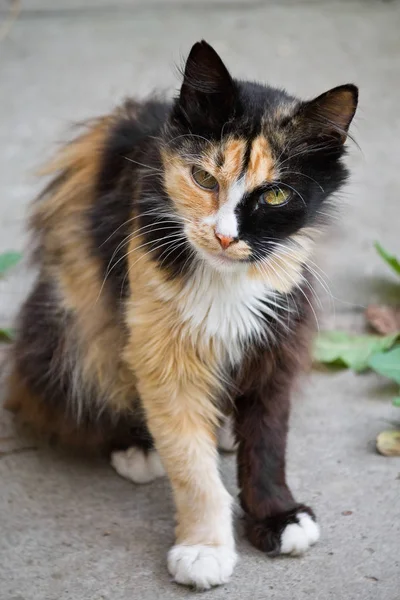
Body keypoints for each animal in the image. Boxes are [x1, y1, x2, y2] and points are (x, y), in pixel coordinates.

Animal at [5, 41, 356, 584]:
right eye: (203, 178)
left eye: (276, 194)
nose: (225, 236)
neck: (226, 279)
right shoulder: (162, 353)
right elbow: (192, 466)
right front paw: (204, 548)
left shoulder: (279, 336)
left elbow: (269, 441)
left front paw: (277, 516)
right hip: (77, 326)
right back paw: (139, 448)